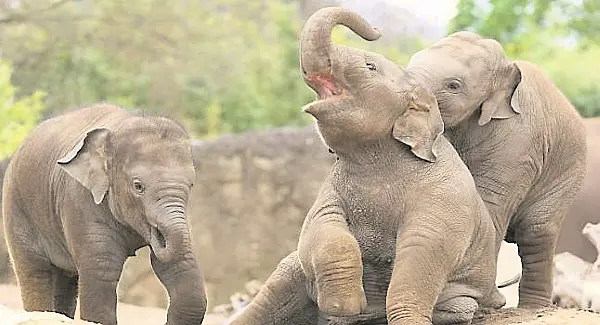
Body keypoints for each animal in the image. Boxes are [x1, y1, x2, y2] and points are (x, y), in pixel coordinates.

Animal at [1, 102, 209, 322]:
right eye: (138, 186)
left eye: (191, 184)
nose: (157, 237)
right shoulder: (79, 199)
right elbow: (102, 270)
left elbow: (184, 268)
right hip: (16, 207)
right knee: (36, 272)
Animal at [230, 6, 502, 324]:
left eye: (370, 66)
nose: (376, 31)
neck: (374, 158)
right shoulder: (331, 188)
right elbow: (320, 226)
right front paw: (343, 306)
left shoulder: (444, 198)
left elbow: (422, 251)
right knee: (278, 284)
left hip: (464, 297)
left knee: (457, 306)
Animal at [406, 29, 588, 306]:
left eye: (454, 86)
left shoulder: (518, 144)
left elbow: (488, 206)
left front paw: (484, 302)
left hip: (568, 171)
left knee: (536, 231)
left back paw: (531, 309)